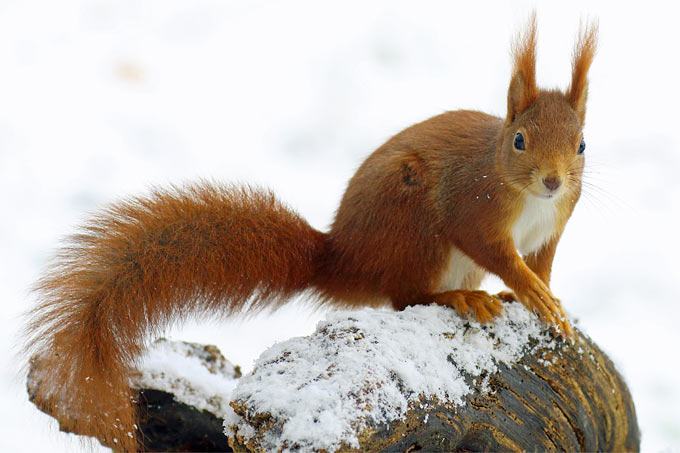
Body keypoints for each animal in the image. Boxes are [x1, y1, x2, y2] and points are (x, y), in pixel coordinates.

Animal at [23, 15, 596, 452]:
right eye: (519, 140)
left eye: (582, 144)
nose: (553, 180)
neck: (529, 198)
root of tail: (346, 258)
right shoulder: (474, 210)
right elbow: (499, 254)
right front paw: (531, 292)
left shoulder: (556, 225)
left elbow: (542, 262)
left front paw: (547, 298)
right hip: (415, 230)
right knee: (407, 295)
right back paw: (459, 297)